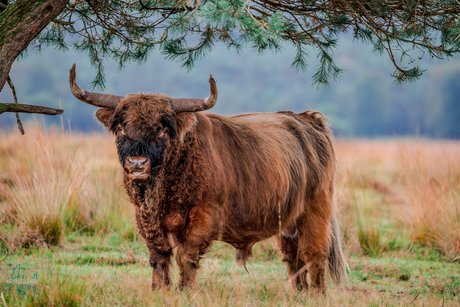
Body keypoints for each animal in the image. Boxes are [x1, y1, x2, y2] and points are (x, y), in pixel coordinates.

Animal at [70, 63, 346, 294]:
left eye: (163, 129)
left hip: (316, 209)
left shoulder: (204, 216)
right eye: (120, 128)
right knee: (294, 257)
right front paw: (159, 290)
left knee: (313, 253)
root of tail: (305, 118)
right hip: (287, 220)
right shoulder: (145, 218)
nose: (137, 164)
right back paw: (300, 293)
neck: (161, 194)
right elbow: (158, 257)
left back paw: (317, 294)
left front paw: (185, 291)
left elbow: (186, 256)